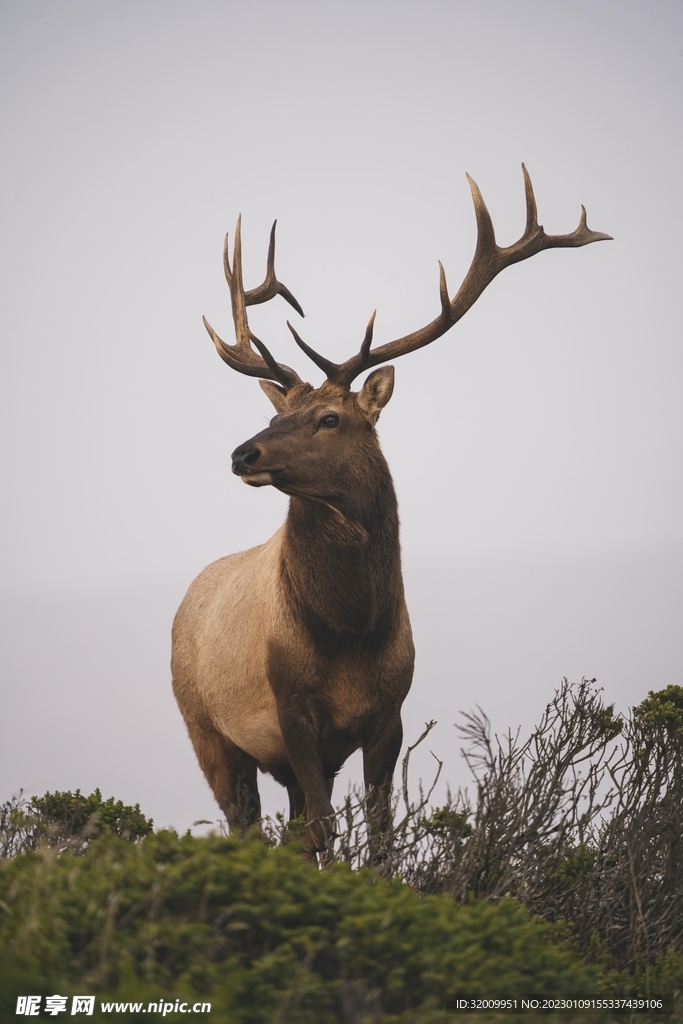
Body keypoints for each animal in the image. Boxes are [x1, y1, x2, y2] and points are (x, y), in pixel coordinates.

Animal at [171, 165, 611, 860]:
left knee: (289, 826)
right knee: (249, 824)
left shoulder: (390, 713)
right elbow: (325, 830)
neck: (352, 630)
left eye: (330, 418)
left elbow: (379, 831)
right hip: (206, 730)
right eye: (276, 414)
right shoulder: (290, 709)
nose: (243, 452)